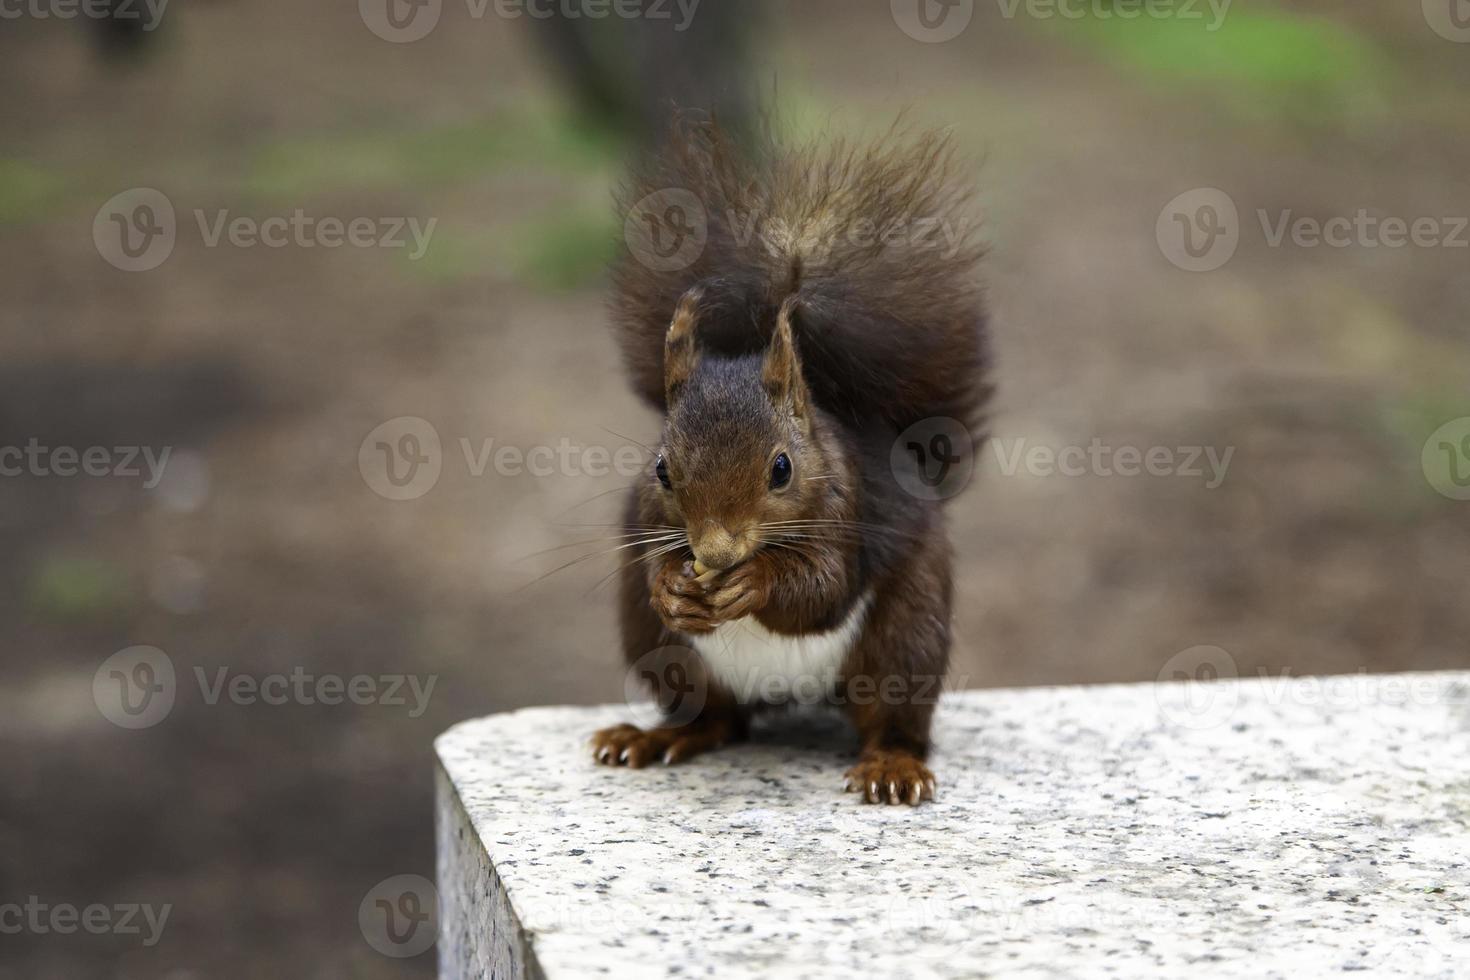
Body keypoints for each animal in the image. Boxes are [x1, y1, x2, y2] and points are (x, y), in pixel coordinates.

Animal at [590, 115, 993, 805]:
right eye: (662, 469)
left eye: (781, 468)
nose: (717, 552)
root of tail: (789, 695)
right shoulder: (644, 516)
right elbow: (652, 565)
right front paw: (671, 583)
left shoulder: (846, 507)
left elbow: (822, 588)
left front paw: (756, 580)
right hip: (663, 652)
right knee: (716, 719)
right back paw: (653, 737)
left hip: (905, 639)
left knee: (892, 718)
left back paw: (892, 766)